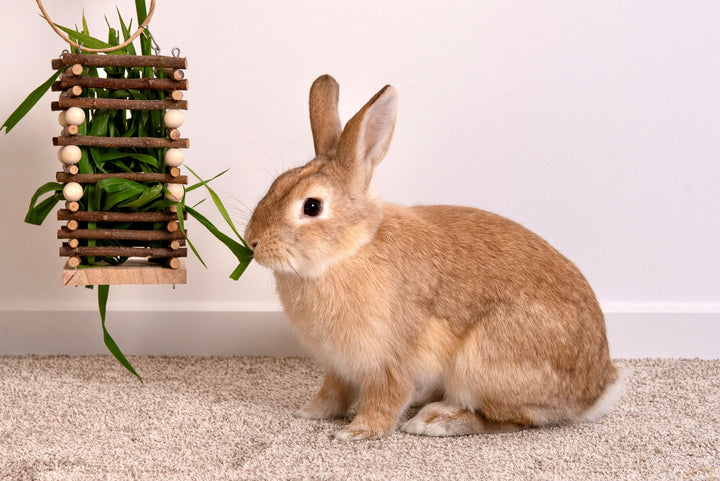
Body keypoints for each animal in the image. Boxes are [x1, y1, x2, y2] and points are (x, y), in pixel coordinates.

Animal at [243, 74, 624, 438]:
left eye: (312, 206)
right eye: (277, 184)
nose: (252, 241)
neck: (351, 250)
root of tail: (597, 391)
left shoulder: (388, 360)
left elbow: (385, 399)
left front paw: (357, 432)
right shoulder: (339, 365)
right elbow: (333, 392)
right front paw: (310, 412)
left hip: (484, 364)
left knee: (509, 419)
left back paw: (435, 421)